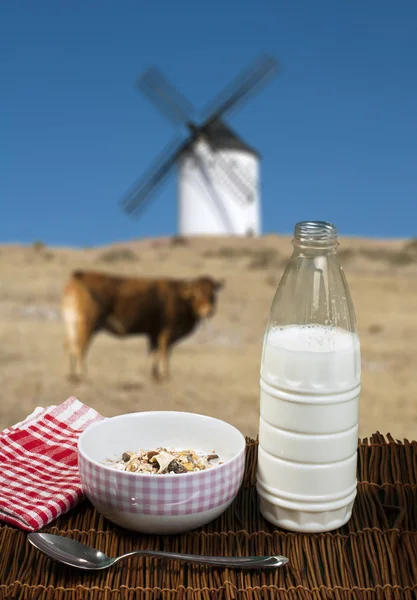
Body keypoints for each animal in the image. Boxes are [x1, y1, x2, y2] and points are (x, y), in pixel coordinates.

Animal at [61, 270, 224, 382]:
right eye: (197, 293)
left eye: (213, 294)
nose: (209, 310)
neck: (182, 299)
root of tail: (79, 275)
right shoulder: (167, 331)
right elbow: (164, 351)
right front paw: (165, 375)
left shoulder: (154, 333)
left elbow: (155, 352)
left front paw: (155, 374)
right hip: (87, 324)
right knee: (80, 347)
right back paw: (83, 375)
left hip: (72, 325)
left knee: (70, 346)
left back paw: (71, 376)